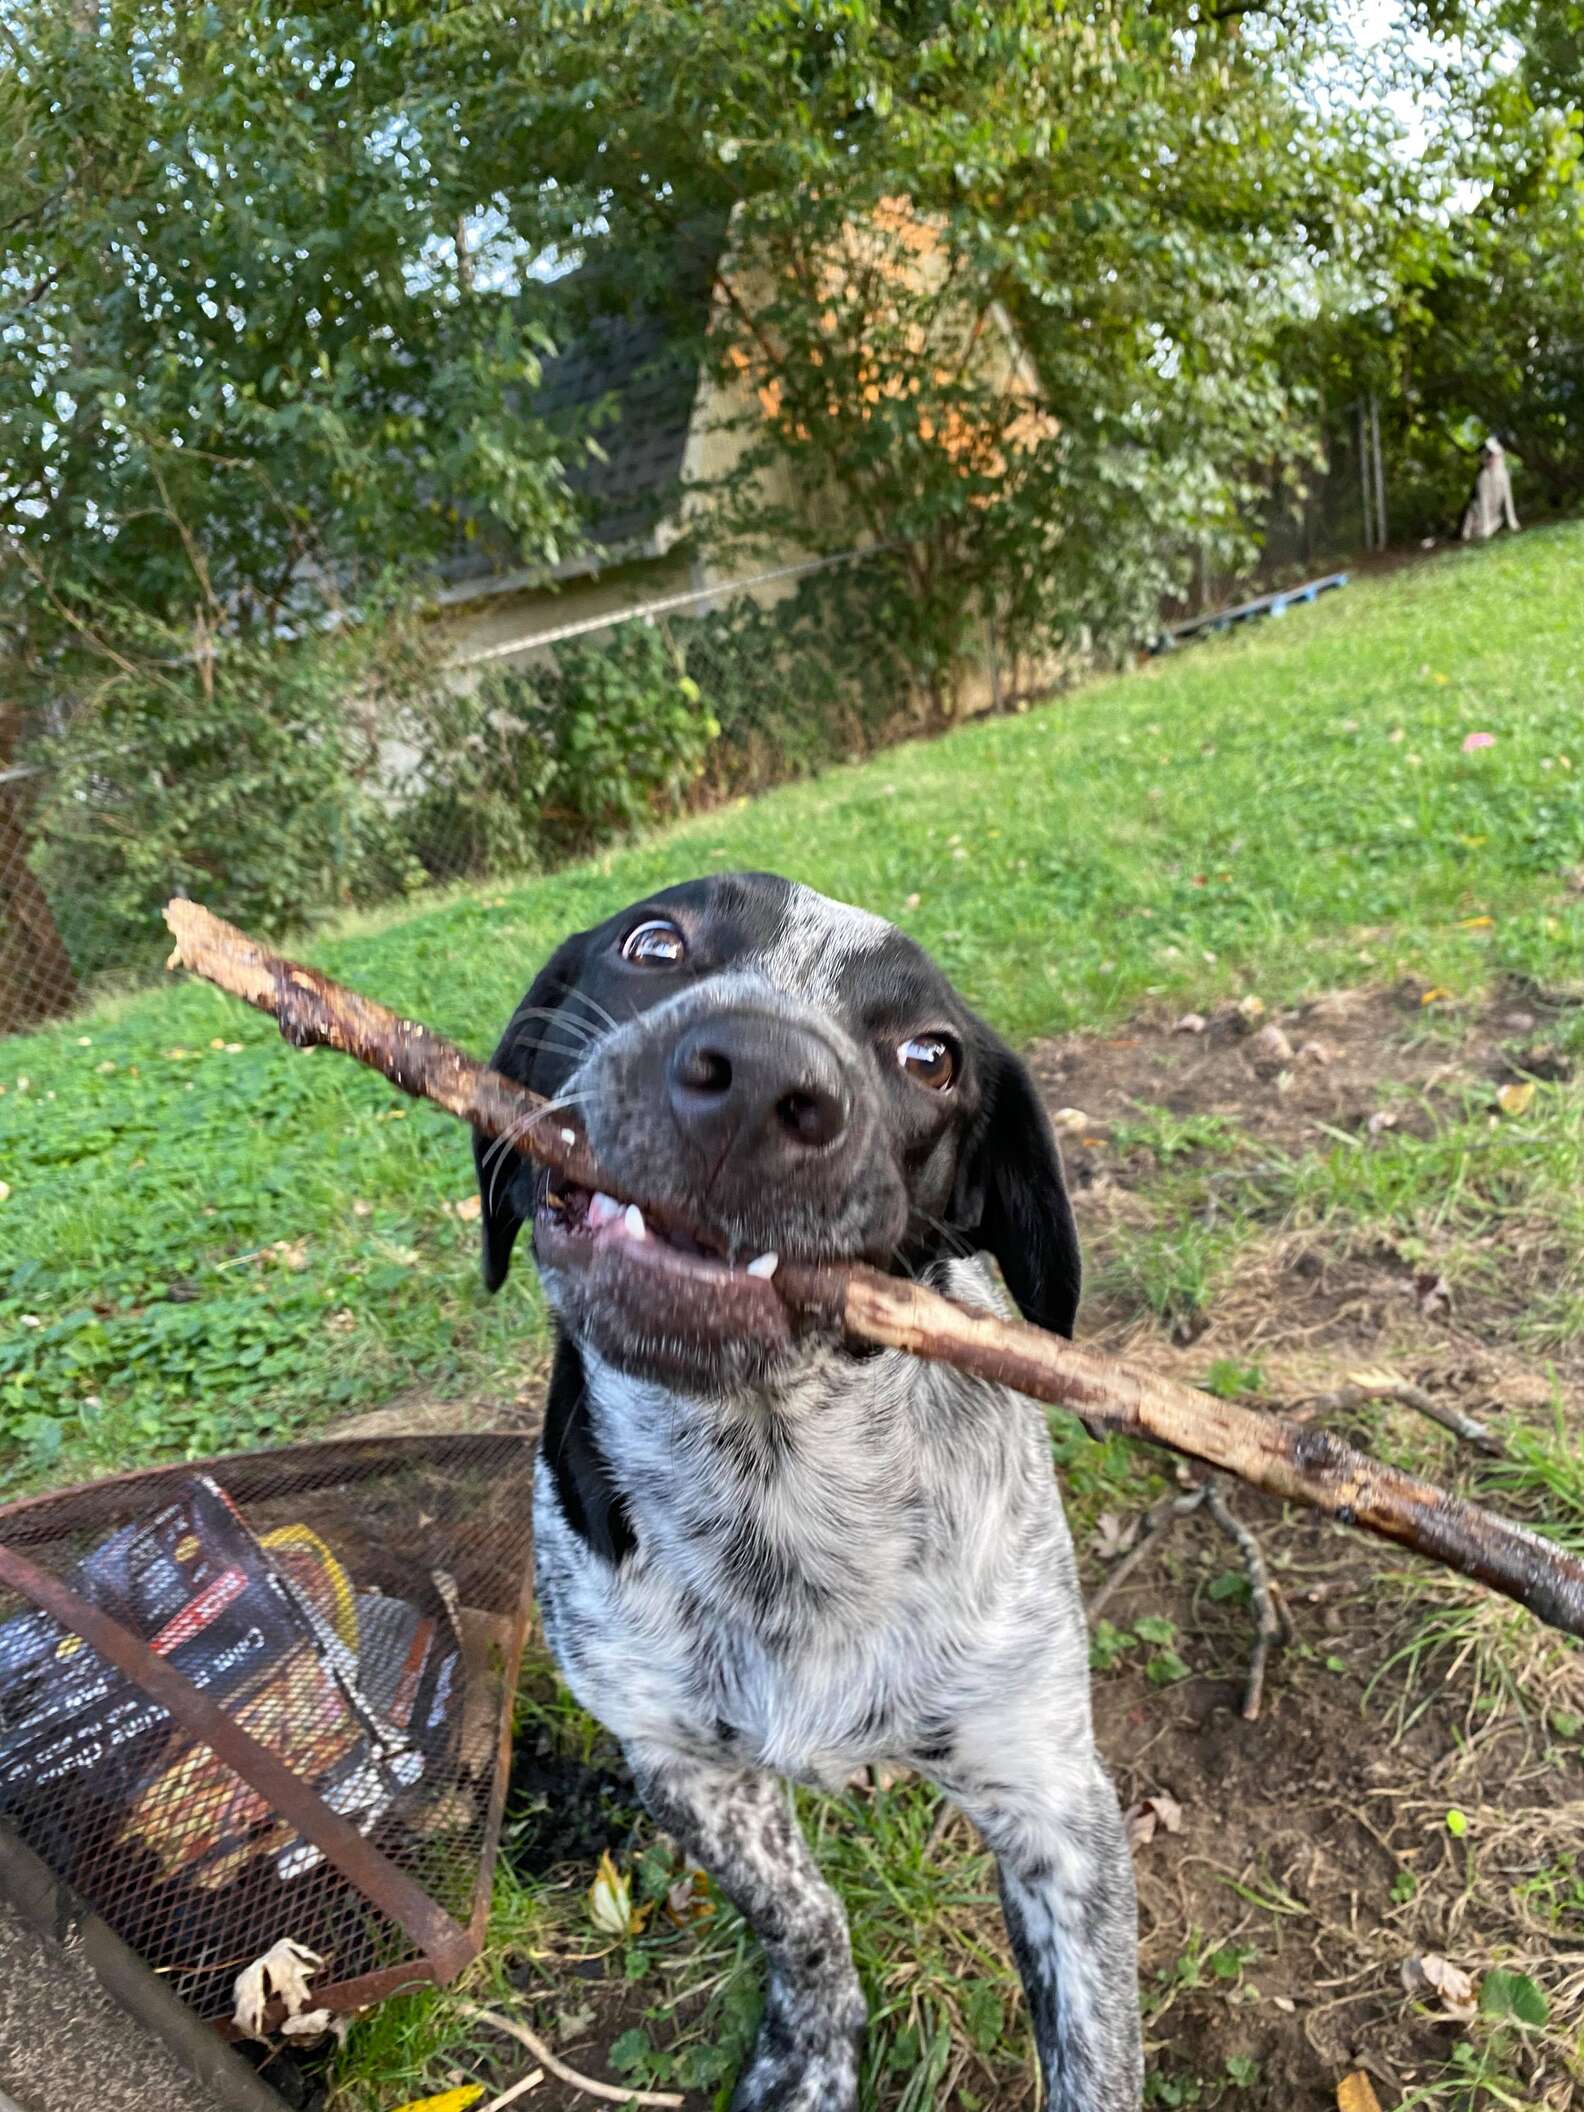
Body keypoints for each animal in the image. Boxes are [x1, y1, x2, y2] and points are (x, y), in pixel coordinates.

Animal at [470, 870, 1140, 2112]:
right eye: (653, 943)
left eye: (931, 1057)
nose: (757, 1075)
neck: (771, 1481)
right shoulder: (680, 1765)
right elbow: (801, 1917)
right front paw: (810, 2054)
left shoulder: (1054, 1804)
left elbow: (1094, 2061)